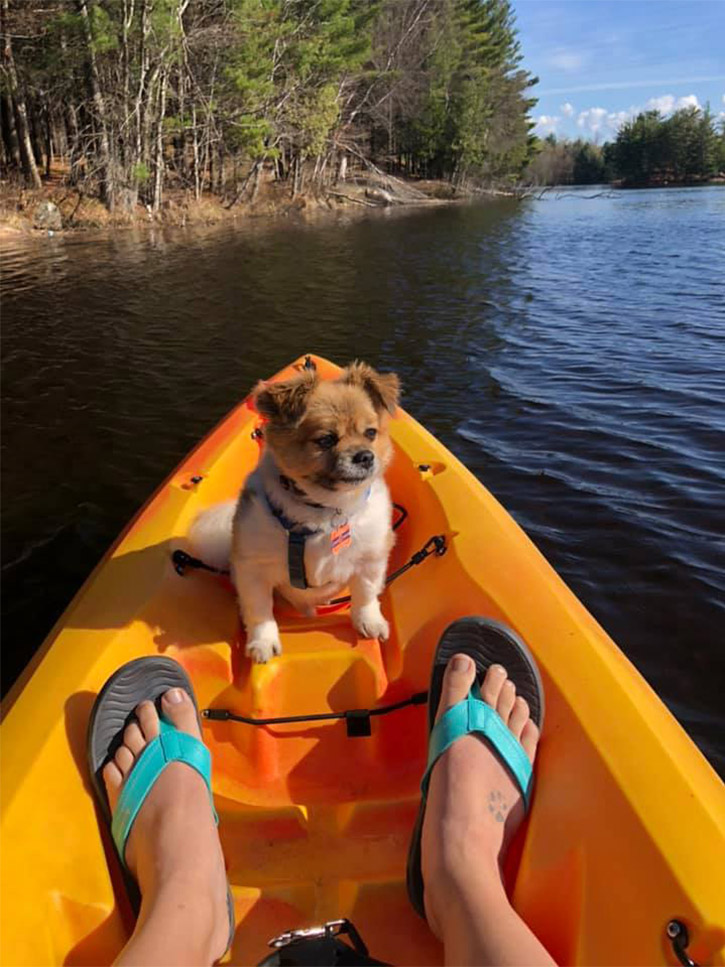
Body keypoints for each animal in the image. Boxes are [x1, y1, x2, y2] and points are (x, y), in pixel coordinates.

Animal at [189, 364, 398, 664]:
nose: (365, 456)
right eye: (325, 439)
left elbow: (366, 594)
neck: (325, 510)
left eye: (371, 433)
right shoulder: (253, 568)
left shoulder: (370, 558)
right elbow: (260, 611)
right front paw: (263, 642)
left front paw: (368, 622)